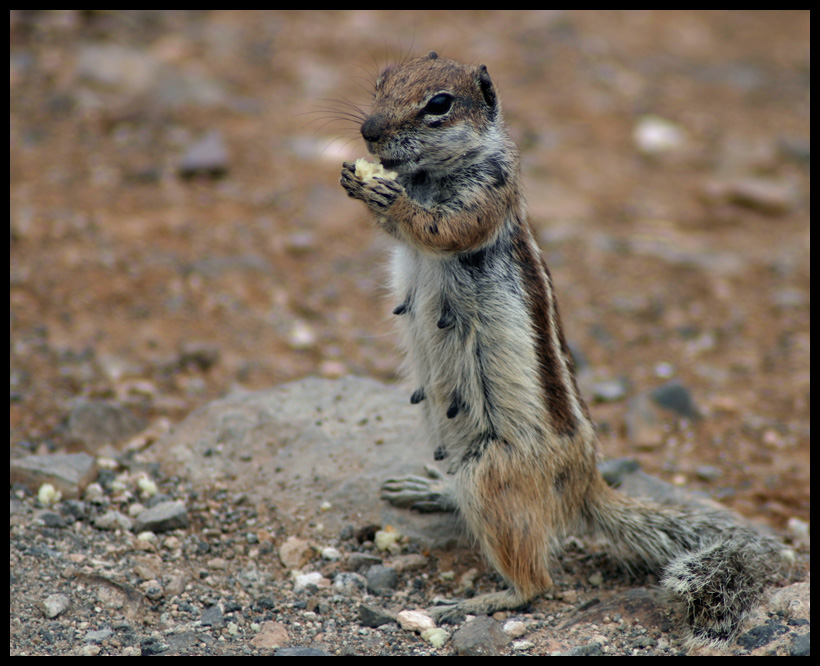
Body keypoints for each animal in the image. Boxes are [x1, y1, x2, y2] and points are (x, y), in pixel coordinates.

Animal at [338, 53, 788, 648]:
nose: (368, 131)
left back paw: (480, 599)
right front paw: (356, 179)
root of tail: (584, 484)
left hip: (494, 476)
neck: (428, 175)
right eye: (380, 83)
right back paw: (429, 488)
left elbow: (443, 227)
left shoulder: (489, 194)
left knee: (537, 581)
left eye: (439, 104)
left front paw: (388, 197)